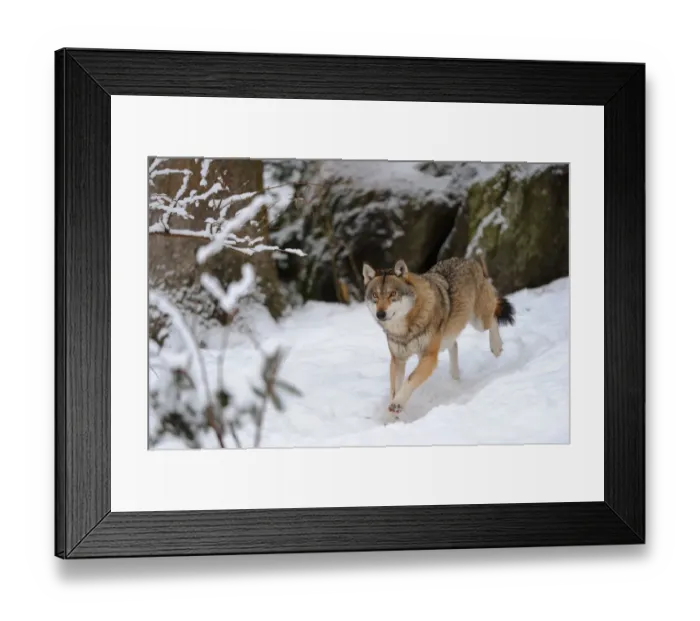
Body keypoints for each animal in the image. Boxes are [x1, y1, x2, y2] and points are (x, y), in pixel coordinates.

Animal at [362, 255, 515, 415]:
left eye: (392, 294)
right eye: (375, 295)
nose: (380, 314)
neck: (404, 331)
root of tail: (468, 260)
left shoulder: (429, 357)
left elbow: (410, 379)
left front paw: (397, 404)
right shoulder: (398, 360)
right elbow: (394, 390)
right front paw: (390, 416)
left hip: (479, 323)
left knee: (493, 318)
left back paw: (496, 347)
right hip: (445, 341)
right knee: (455, 344)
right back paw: (455, 377)